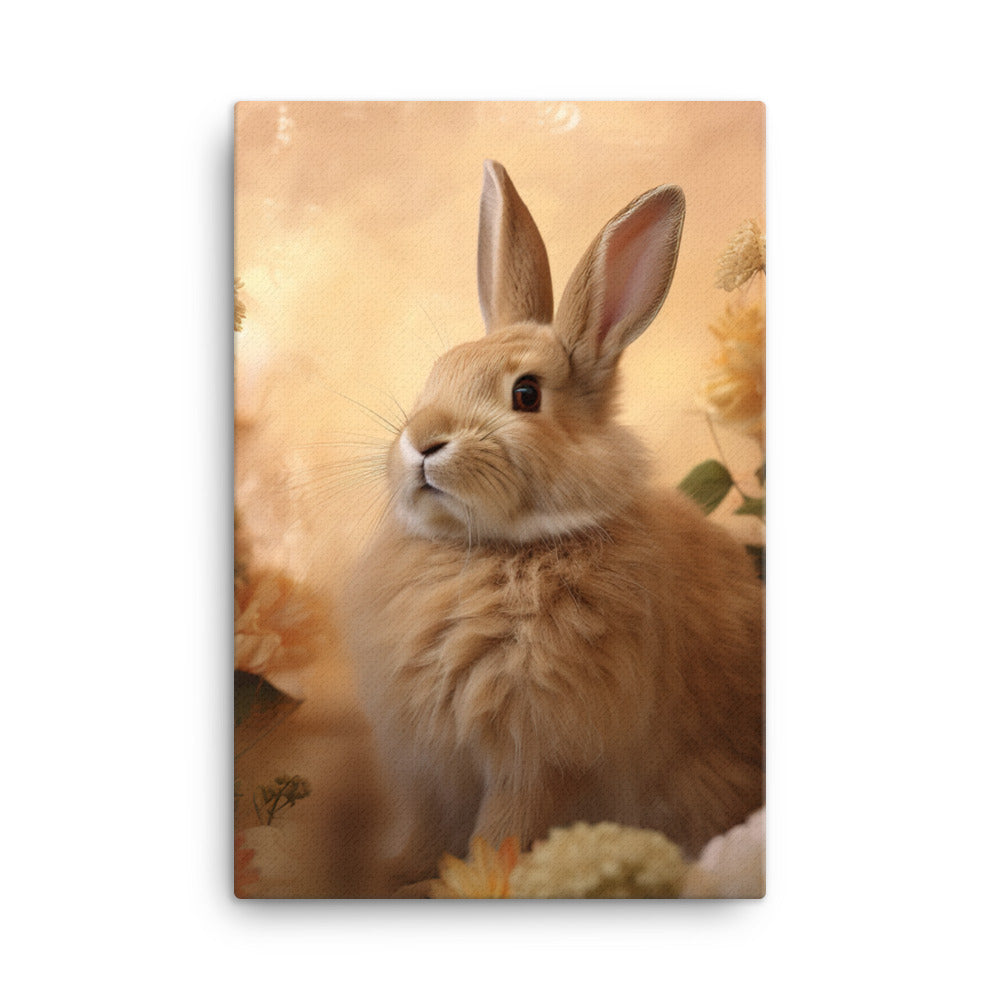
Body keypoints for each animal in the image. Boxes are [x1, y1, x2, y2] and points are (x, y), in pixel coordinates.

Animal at [343, 160, 763, 889]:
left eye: (526, 395)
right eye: (435, 375)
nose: (422, 441)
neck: (497, 550)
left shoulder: (537, 755)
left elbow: (500, 831)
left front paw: (482, 881)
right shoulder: (429, 766)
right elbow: (424, 831)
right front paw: (395, 875)